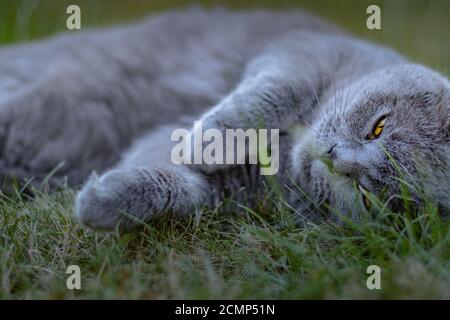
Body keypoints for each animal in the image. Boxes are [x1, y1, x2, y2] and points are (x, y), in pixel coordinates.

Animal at [0, 8, 448, 231]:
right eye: (378, 126)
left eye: (366, 195)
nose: (335, 158)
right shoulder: (300, 50)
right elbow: (271, 94)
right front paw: (204, 143)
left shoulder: (235, 188)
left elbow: (181, 185)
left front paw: (103, 203)